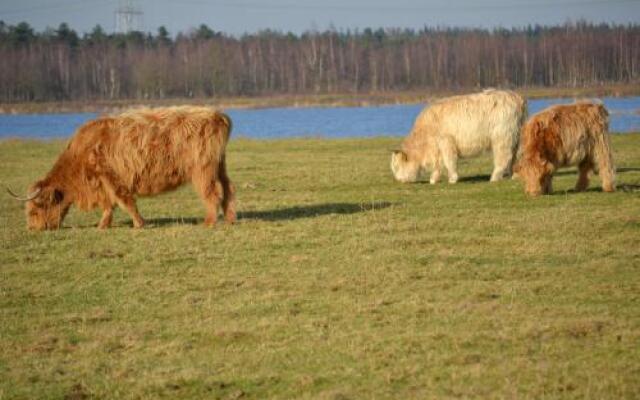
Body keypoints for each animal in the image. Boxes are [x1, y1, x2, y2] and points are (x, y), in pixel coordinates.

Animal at [6, 106, 238, 230]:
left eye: (35, 208)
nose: (32, 228)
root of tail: (218, 114)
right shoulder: (103, 182)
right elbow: (110, 204)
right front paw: (103, 226)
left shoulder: (110, 176)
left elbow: (124, 201)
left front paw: (139, 223)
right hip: (220, 165)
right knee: (228, 189)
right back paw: (229, 218)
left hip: (202, 170)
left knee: (212, 193)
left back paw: (209, 222)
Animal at [392, 89, 528, 183]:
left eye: (397, 167)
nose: (399, 180)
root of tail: (516, 97)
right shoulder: (437, 148)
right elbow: (438, 165)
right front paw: (434, 179)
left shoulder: (446, 142)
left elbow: (449, 161)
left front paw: (452, 179)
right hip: (515, 137)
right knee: (515, 156)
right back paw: (514, 175)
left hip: (502, 137)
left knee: (504, 157)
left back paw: (494, 177)